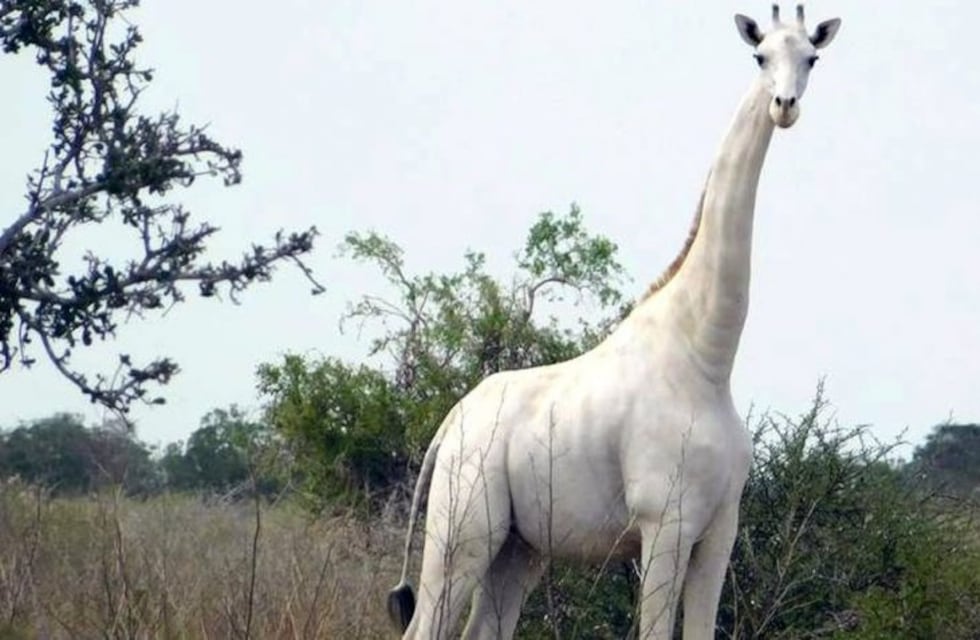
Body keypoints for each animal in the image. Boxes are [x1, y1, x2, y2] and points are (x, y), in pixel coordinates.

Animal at [388, 5, 841, 639]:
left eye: (812, 58)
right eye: (760, 56)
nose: (785, 105)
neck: (706, 358)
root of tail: (448, 427)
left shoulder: (719, 530)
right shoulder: (664, 521)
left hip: (519, 548)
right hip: (463, 533)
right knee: (424, 624)